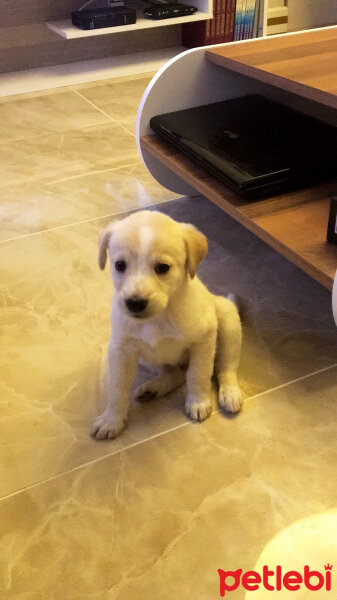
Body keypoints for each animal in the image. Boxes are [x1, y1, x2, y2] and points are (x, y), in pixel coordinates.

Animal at [90, 211, 240, 440]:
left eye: (163, 268)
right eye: (119, 265)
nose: (134, 303)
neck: (159, 317)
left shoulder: (204, 339)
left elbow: (199, 373)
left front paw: (198, 402)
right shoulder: (121, 350)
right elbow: (116, 387)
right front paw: (111, 420)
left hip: (227, 318)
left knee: (226, 367)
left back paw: (230, 393)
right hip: (146, 357)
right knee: (175, 373)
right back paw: (153, 388)